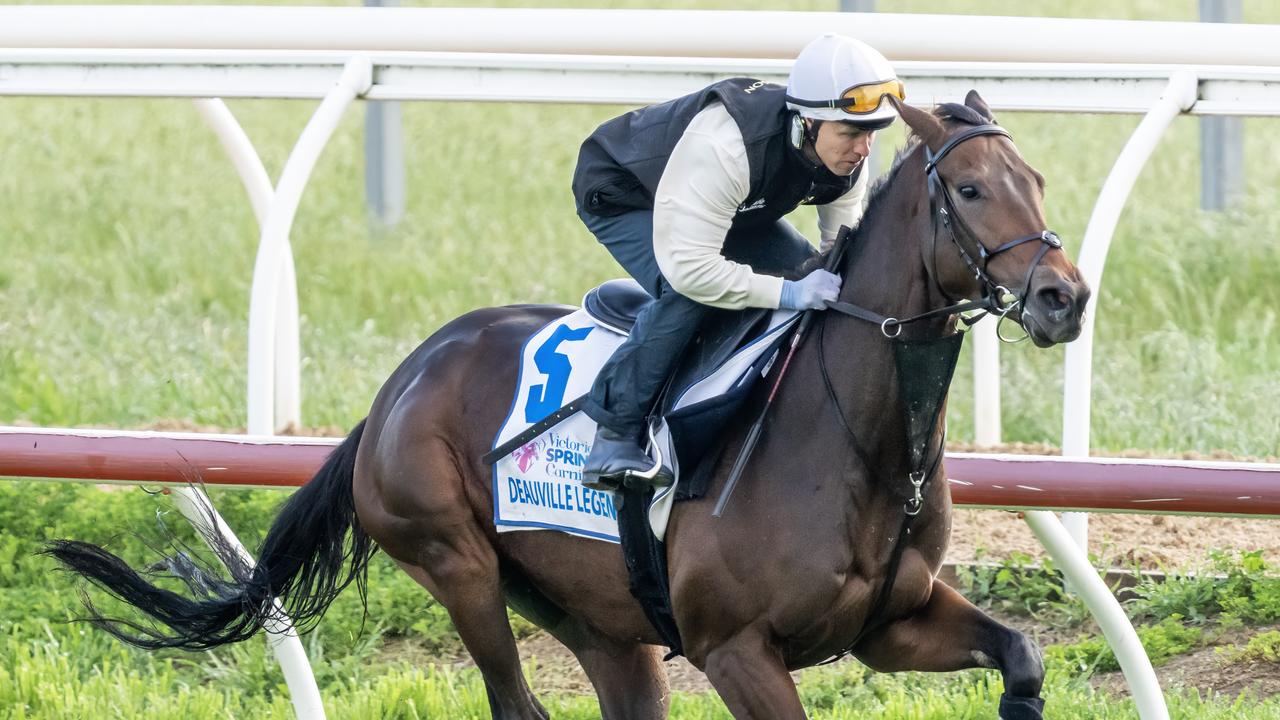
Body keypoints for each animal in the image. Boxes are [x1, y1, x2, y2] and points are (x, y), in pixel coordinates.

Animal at [49, 92, 1090, 712]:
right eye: (970, 188)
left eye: (1037, 180)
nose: (1063, 296)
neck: (857, 443)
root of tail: (396, 389)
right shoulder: (737, 650)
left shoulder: (889, 626)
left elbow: (1023, 657)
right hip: (457, 562)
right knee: (514, 698)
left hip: (598, 620)